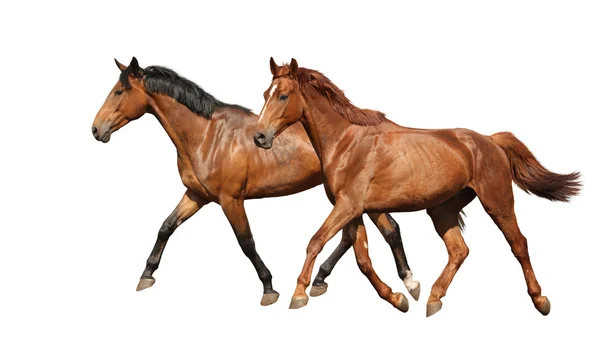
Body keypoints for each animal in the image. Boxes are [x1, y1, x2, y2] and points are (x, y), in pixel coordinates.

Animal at [91, 57, 420, 310]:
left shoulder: (230, 199)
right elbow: (166, 226)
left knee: (383, 231)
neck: (207, 136)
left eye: (118, 91)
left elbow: (246, 242)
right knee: (366, 234)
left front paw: (269, 288)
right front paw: (146, 275)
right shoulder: (196, 195)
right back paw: (331, 280)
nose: (96, 129)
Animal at [253, 58, 580, 316]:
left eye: (283, 96)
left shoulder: (348, 206)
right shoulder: (354, 210)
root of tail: (490, 140)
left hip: (497, 202)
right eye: (266, 94)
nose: (259, 137)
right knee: (459, 250)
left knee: (519, 244)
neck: (346, 141)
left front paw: (299, 294)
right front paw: (398, 298)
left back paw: (540, 300)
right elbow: (363, 260)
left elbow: (316, 241)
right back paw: (434, 299)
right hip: (442, 210)